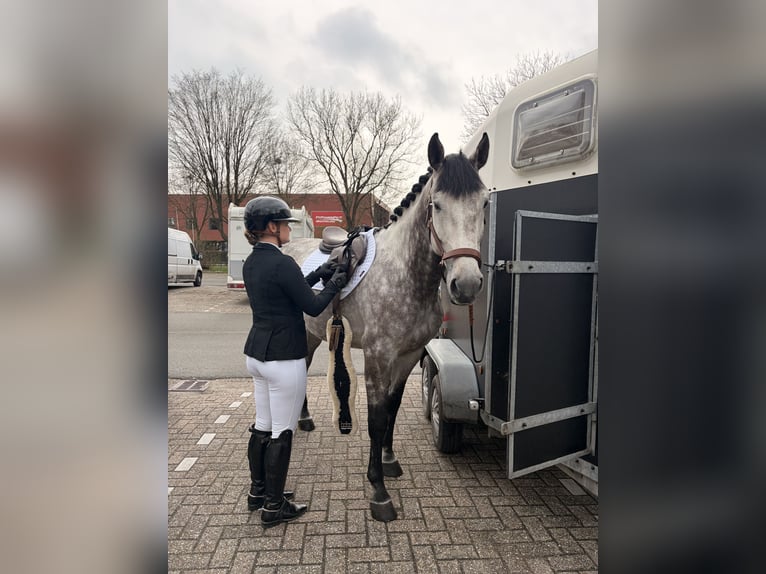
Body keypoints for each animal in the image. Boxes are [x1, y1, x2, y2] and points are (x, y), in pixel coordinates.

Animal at [283, 132, 490, 522]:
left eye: (484, 203)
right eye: (436, 205)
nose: (466, 284)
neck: (405, 275)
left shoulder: (408, 355)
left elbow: (392, 407)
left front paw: (390, 461)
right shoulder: (378, 357)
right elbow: (377, 418)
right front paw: (378, 490)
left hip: (313, 334)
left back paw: (303, 418)